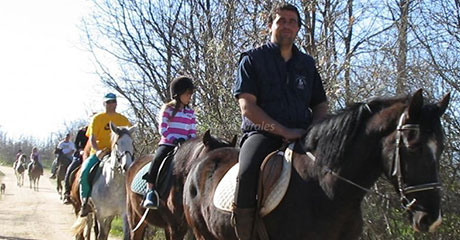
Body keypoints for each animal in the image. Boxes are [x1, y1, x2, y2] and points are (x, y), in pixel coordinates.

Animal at [182, 90, 450, 240]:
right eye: (413, 146)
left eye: (441, 148)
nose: (431, 219)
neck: (327, 190)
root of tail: (202, 161)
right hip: (203, 233)